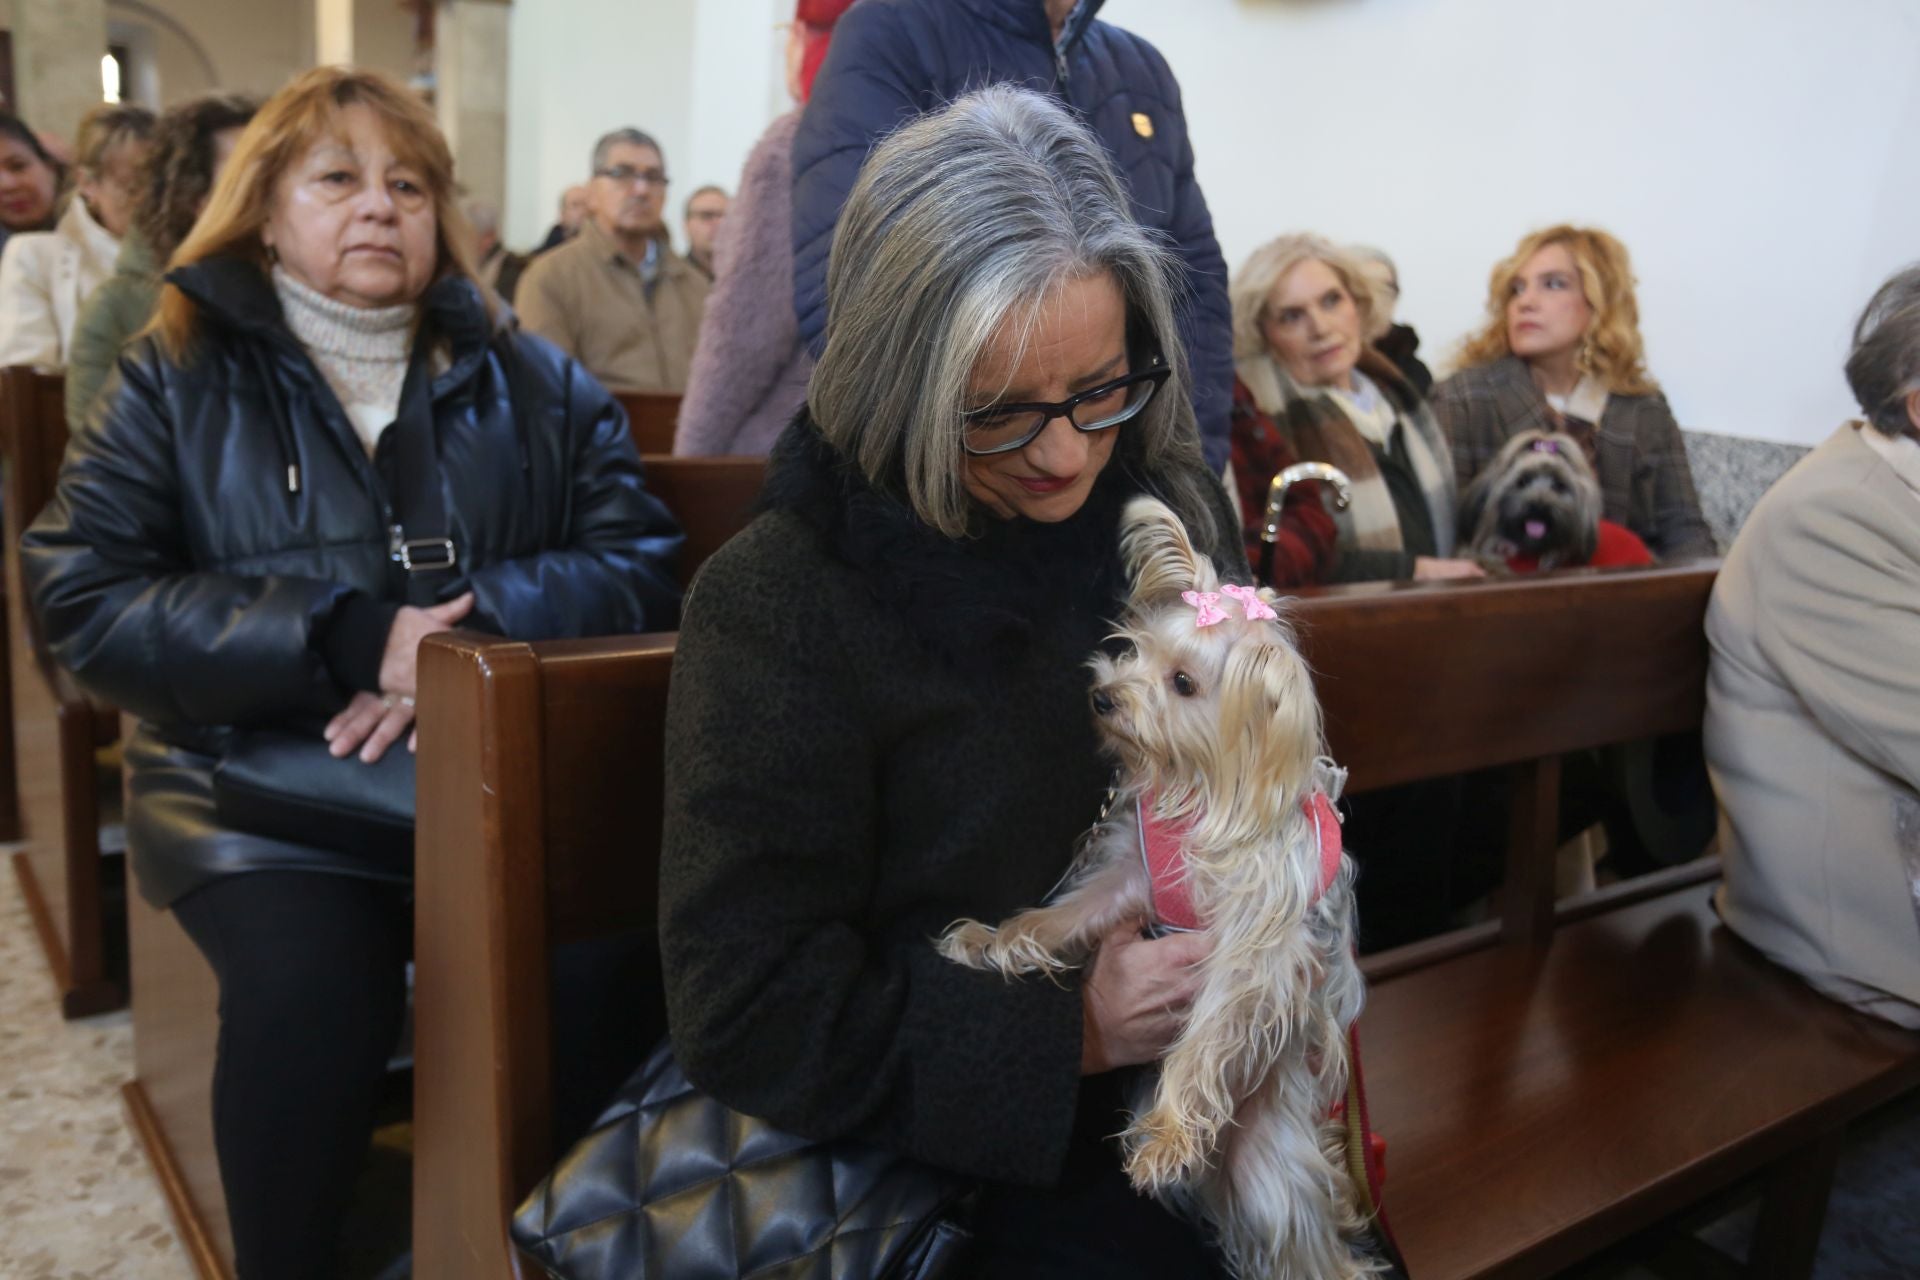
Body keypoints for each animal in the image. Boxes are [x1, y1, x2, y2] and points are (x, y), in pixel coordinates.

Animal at [933, 498, 1374, 1280]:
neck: (1199, 790)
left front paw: (1167, 1135)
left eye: (1185, 684)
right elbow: (1059, 918)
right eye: (1131, 649)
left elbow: (1210, 1033)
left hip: (1270, 1170)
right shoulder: (1129, 877)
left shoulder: (1257, 948)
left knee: (1312, 1249)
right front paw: (992, 941)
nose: (1104, 696)